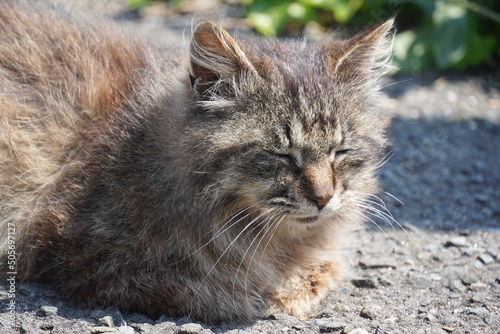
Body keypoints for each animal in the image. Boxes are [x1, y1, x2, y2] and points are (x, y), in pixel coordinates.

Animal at [0, 0, 394, 324]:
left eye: (340, 151)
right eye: (280, 154)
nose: (323, 198)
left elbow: (325, 269)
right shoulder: (91, 257)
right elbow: (223, 292)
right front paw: (269, 292)